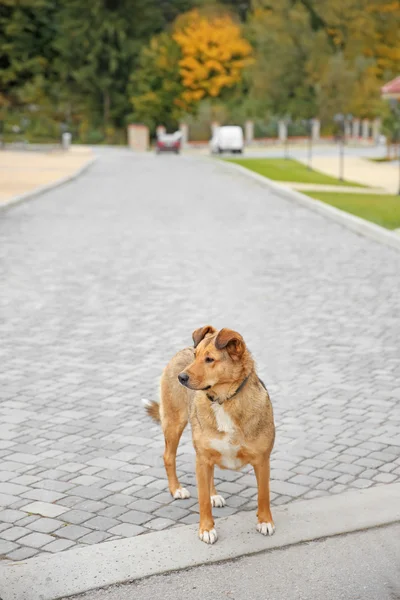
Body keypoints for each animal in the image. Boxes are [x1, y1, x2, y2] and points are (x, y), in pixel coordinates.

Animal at [144, 326, 276, 548]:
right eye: (195, 356)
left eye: (209, 359)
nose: (181, 377)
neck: (223, 401)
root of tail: (181, 350)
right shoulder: (202, 458)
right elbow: (203, 499)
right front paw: (206, 529)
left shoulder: (262, 460)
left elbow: (263, 495)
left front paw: (265, 521)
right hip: (174, 423)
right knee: (168, 457)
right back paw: (176, 489)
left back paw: (214, 494)